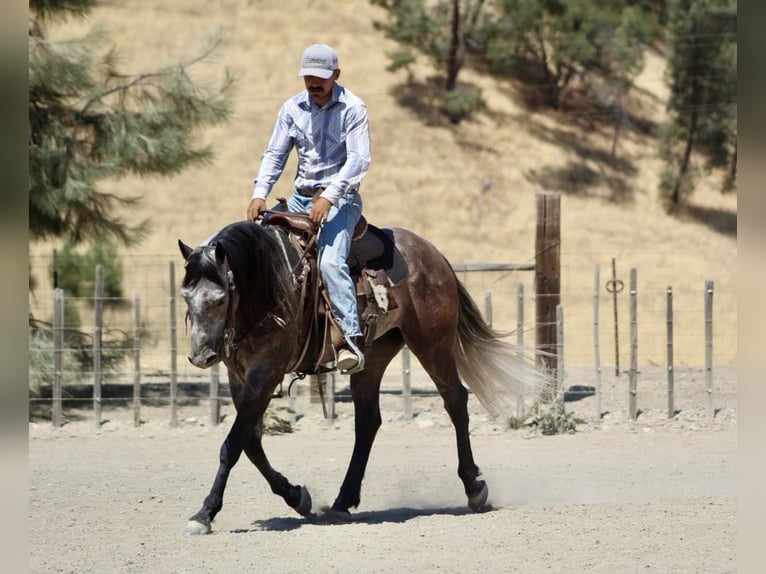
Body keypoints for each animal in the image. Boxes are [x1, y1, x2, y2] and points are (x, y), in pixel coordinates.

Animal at [178, 218, 548, 534]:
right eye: (185, 296)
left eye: (220, 298)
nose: (201, 356)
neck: (270, 282)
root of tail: (432, 253)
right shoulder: (240, 378)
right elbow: (251, 443)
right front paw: (298, 497)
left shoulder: (265, 374)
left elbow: (233, 445)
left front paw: (204, 513)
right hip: (374, 357)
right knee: (368, 421)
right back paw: (343, 501)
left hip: (432, 344)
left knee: (455, 400)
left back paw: (474, 487)